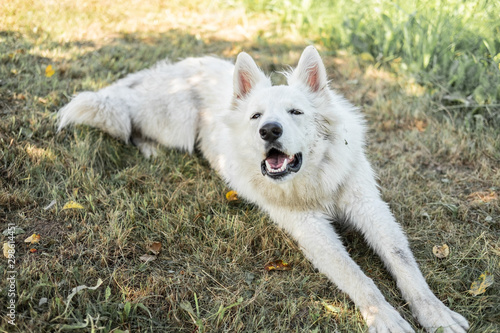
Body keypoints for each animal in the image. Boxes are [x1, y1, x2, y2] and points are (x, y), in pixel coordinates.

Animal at [57, 45, 468, 330]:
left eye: (296, 112)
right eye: (256, 116)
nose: (269, 130)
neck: (315, 176)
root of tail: (167, 71)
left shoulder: (370, 208)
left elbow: (404, 264)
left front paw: (436, 314)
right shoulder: (310, 229)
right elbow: (357, 277)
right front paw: (383, 316)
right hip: (175, 124)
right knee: (130, 123)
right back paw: (150, 148)